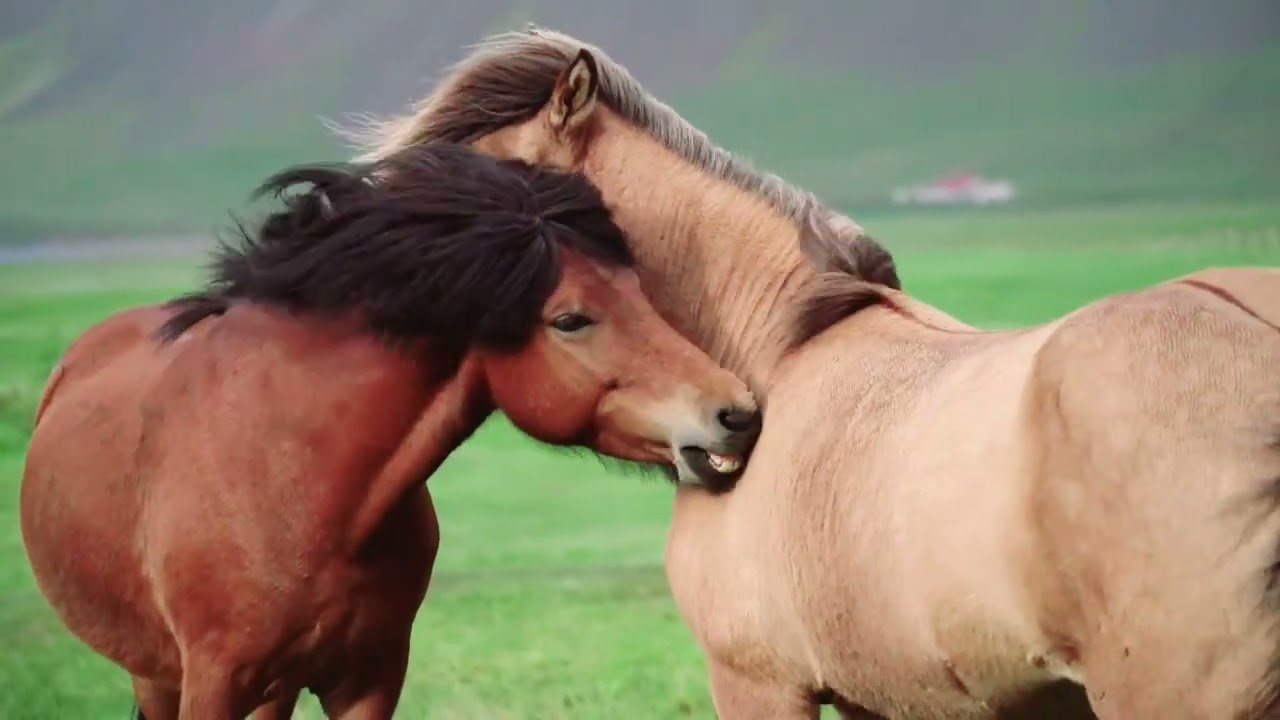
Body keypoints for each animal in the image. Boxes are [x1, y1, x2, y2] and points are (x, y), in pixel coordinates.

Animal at [19, 140, 762, 720]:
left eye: (643, 292)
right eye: (571, 319)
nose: (739, 413)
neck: (299, 481)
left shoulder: (370, 677)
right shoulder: (214, 681)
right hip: (156, 673)